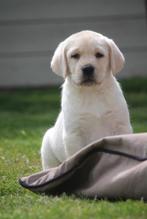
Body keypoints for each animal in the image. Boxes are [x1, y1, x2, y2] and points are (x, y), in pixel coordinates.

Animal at [40, 30, 133, 169]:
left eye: (99, 55)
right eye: (75, 56)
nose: (88, 68)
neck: (91, 93)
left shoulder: (121, 125)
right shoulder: (74, 134)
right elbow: (77, 155)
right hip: (47, 145)